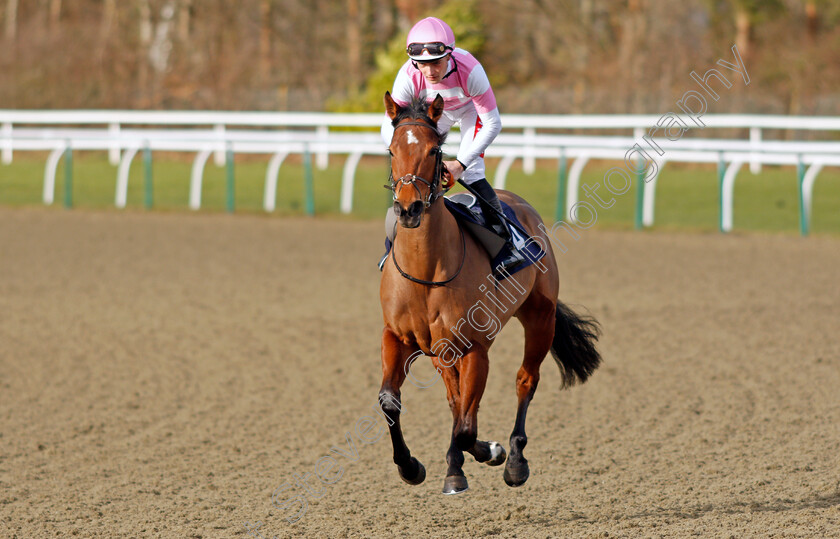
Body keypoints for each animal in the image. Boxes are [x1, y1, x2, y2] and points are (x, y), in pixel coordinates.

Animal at [380, 92, 604, 494]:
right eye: (391, 150)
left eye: (435, 150)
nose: (409, 209)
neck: (426, 271)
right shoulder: (399, 338)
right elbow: (393, 403)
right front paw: (410, 466)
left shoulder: (475, 348)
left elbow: (466, 429)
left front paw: (484, 457)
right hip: (441, 352)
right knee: (457, 400)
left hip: (540, 317)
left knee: (525, 380)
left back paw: (514, 460)